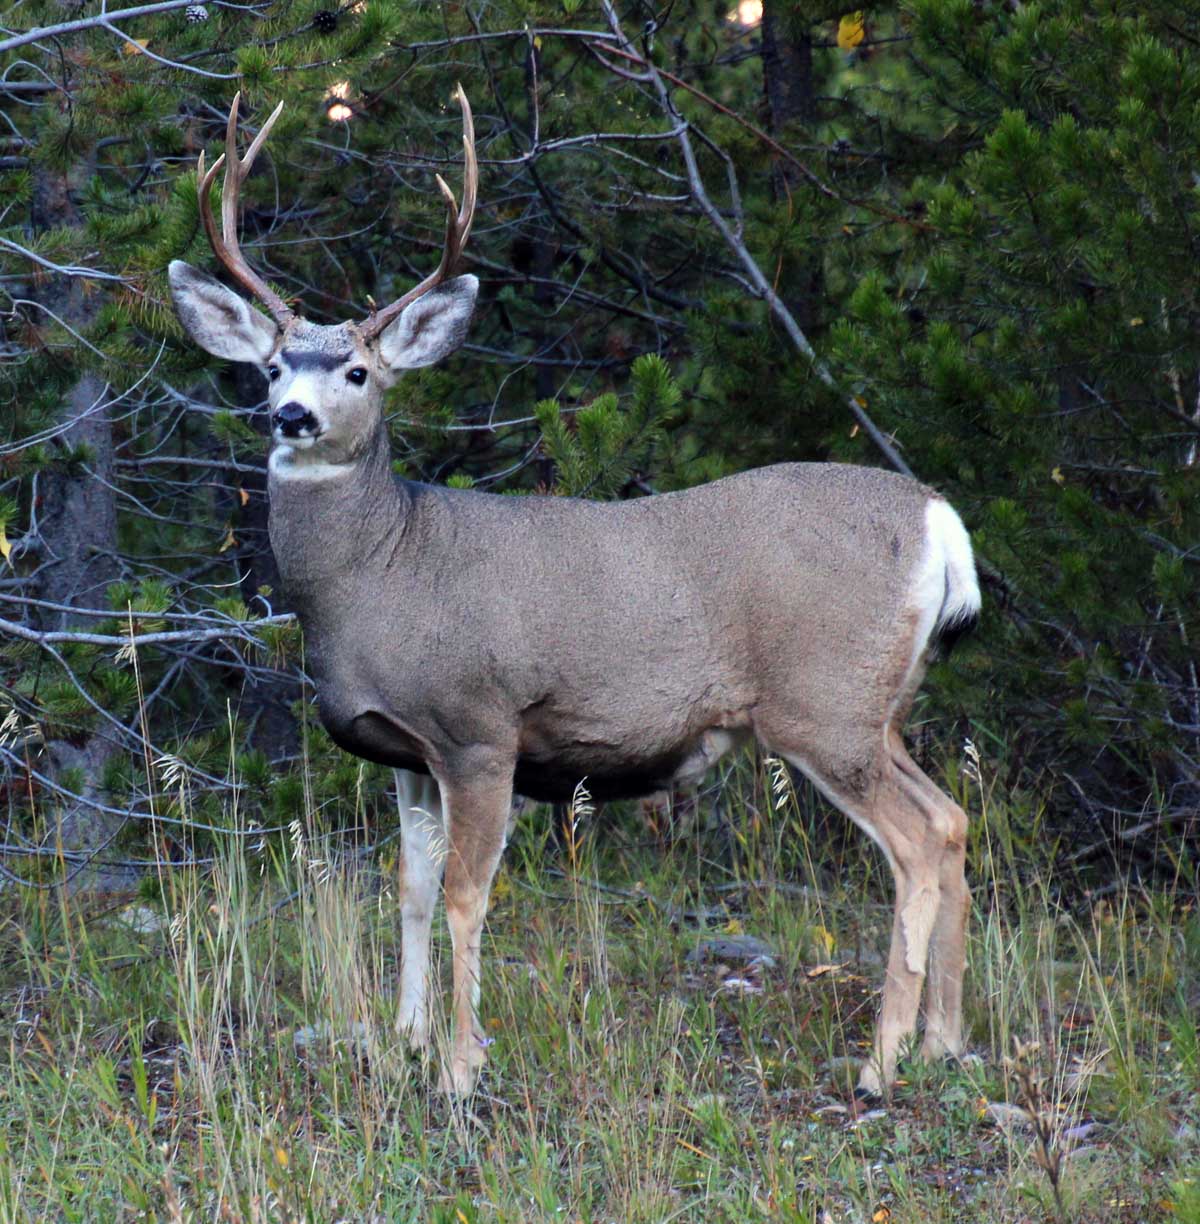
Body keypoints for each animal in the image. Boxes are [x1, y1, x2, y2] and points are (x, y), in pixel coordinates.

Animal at [169, 87, 981, 1100]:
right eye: (274, 365)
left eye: (357, 370)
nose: (291, 415)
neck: (384, 569)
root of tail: (937, 518)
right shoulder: (404, 751)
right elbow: (409, 889)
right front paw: (403, 1040)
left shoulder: (480, 727)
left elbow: (468, 896)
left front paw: (461, 1066)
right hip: (878, 708)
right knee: (952, 820)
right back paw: (944, 1041)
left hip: (821, 705)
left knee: (916, 842)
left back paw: (881, 1061)